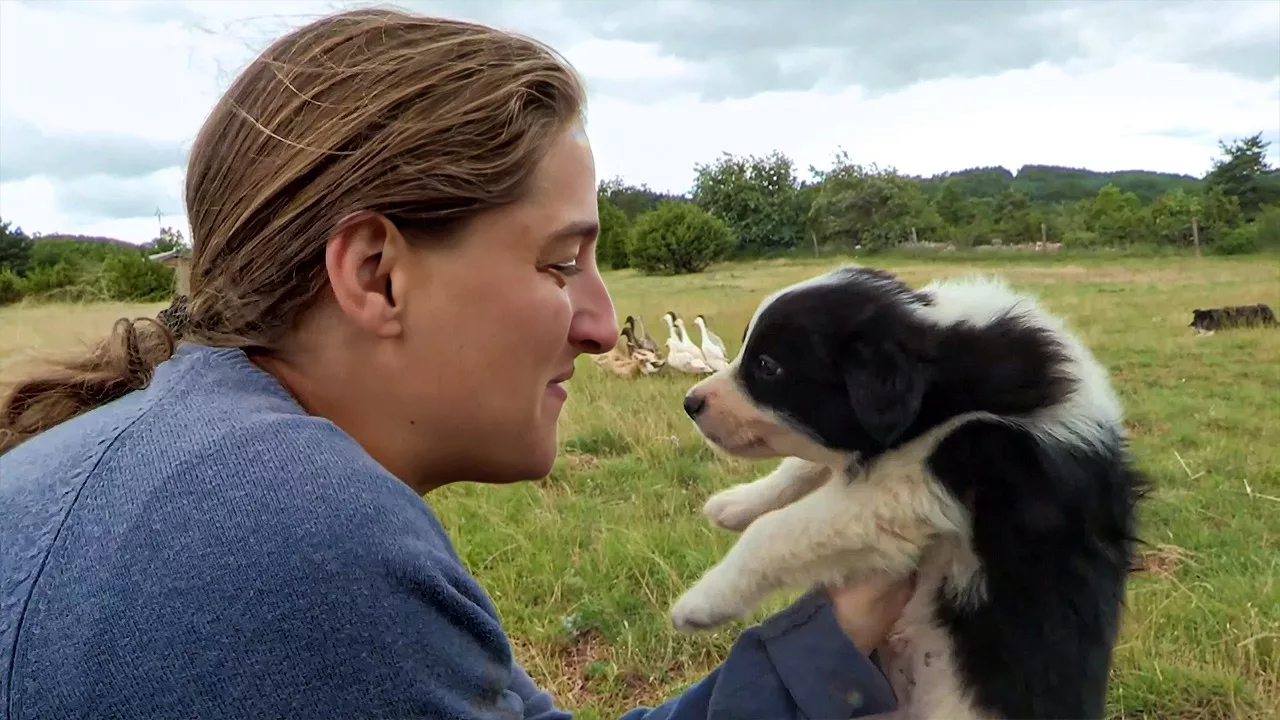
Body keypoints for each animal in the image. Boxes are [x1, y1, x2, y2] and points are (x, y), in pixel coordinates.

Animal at [675, 265, 1146, 717]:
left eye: (767, 366)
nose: (689, 403)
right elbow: (804, 465)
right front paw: (734, 503)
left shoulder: (929, 479)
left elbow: (777, 530)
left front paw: (699, 602)